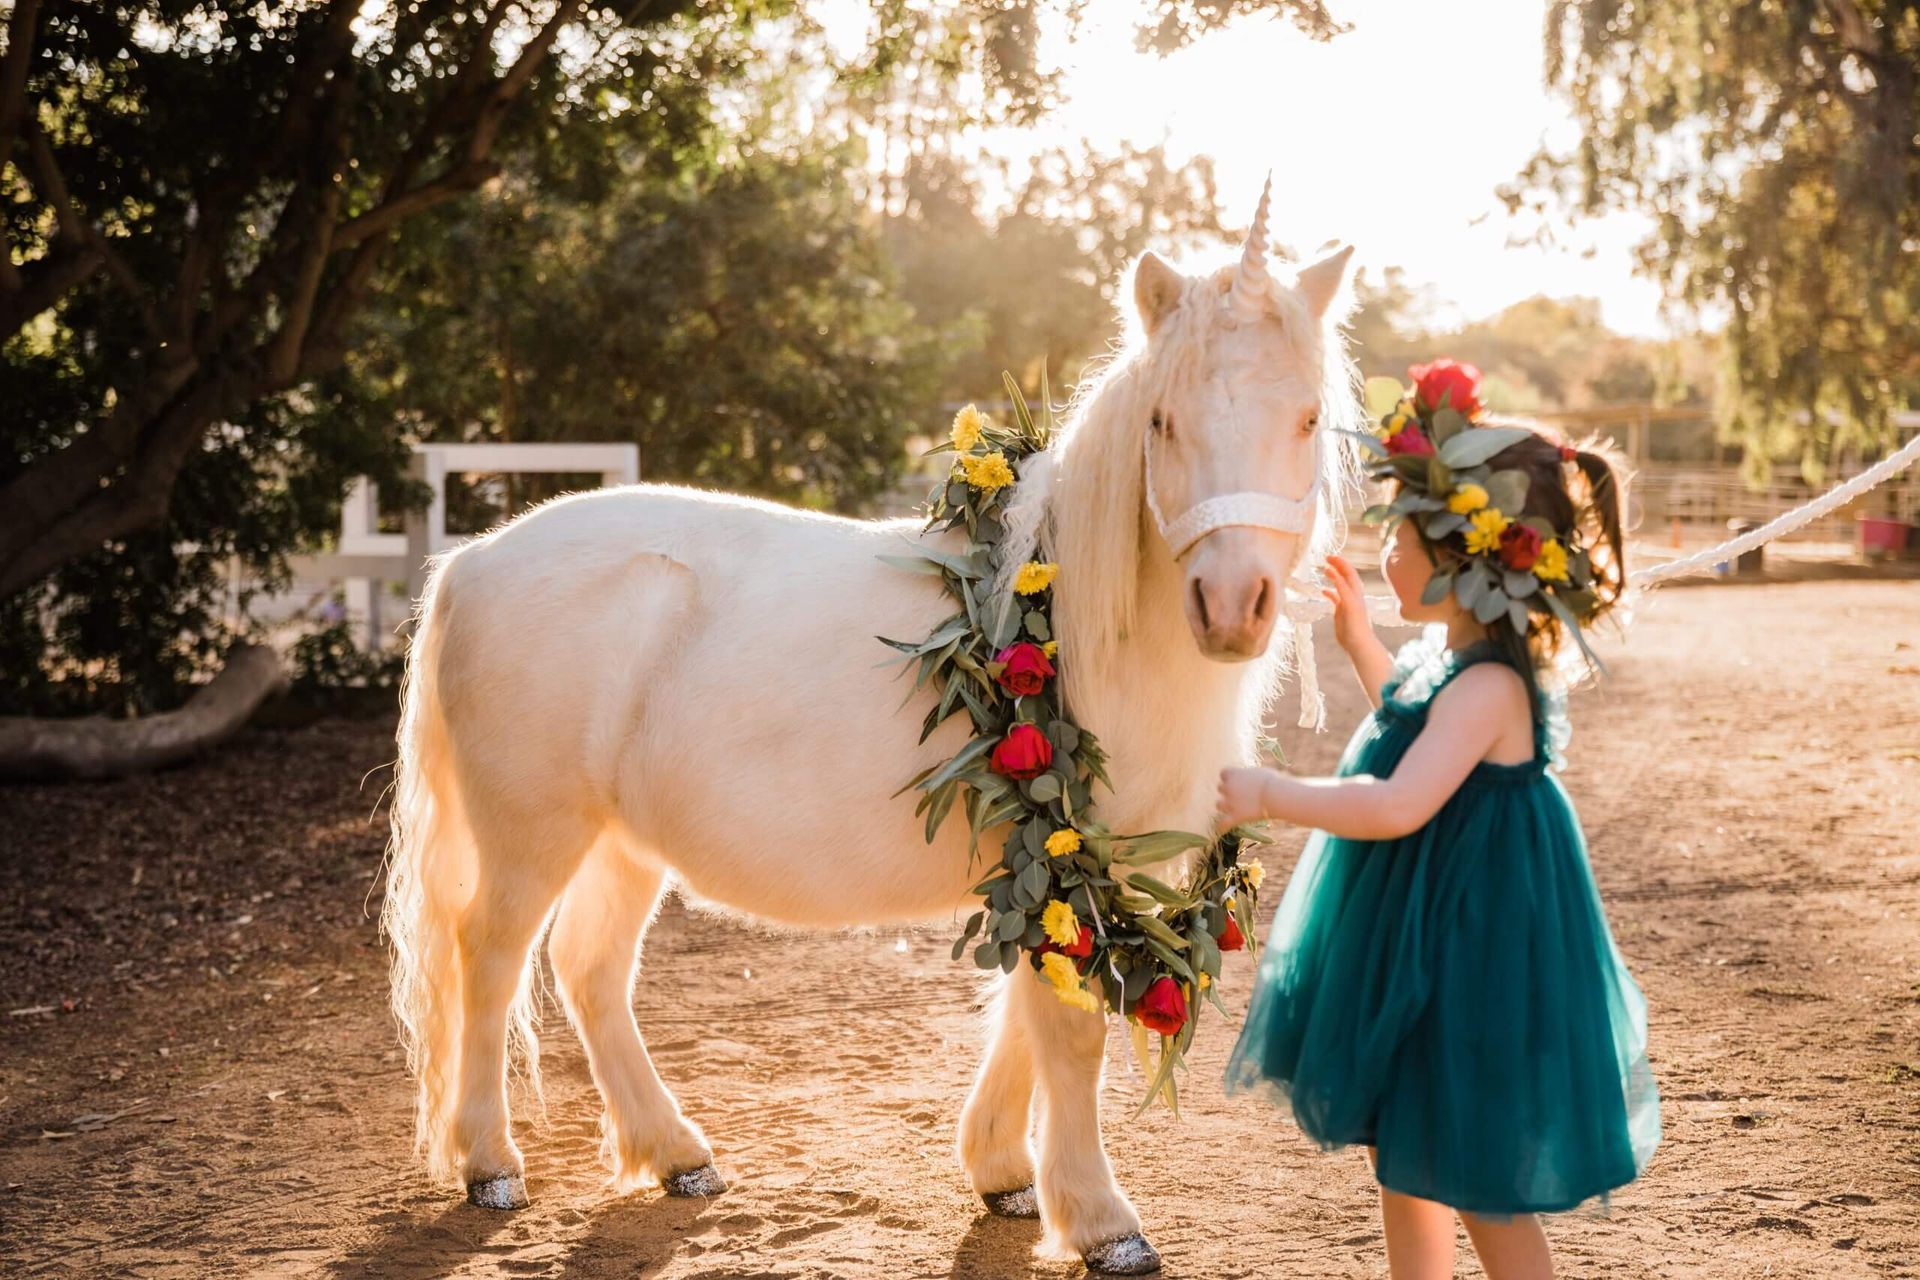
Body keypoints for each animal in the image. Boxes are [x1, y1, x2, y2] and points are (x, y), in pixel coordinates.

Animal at [380, 181, 1360, 1274]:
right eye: (1164, 419)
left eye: (1307, 417)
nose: (1231, 606)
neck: (1073, 620)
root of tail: (472, 560)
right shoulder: (1067, 846)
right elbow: (1066, 1029)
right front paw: (1102, 1219)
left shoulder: (1051, 856)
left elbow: (1022, 1012)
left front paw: (1003, 1171)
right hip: (531, 834)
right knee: (491, 957)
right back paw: (489, 1162)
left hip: (624, 841)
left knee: (589, 968)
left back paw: (674, 1151)